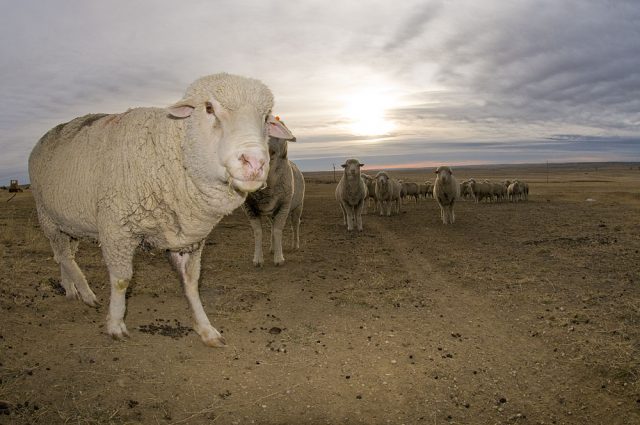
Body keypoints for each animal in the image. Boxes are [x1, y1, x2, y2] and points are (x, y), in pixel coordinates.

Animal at [28, 73, 292, 346]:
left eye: (266, 118)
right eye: (209, 108)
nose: (255, 163)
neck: (173, 153)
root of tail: (46, 135)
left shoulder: (189, 239)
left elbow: (191, 283)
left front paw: (205, 329)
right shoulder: (116, 229)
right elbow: (121, 281)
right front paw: (115, 324)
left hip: (69, 223)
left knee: (64, 255)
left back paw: (70, 288)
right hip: (46, 215)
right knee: (65, 256)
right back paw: (86, 292)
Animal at [244, 119, 306, 264]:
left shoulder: (284, 205)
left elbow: (278, 231)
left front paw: (279, 259)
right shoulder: (249, 208)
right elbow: (258, 232)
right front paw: (258, 259)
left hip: (297, 206)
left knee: (295, 225)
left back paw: (295, 245)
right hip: (271, 212)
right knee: (272, 227)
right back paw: (272, 248)